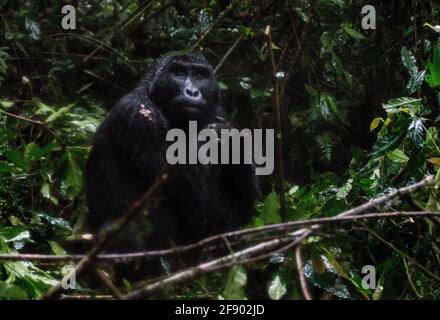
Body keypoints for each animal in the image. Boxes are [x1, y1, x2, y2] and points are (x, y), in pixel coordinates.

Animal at [85, 52, 258, 258]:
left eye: (199, 76)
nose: (192, 91)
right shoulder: (140, 114)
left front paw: (234, 142)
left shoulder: (218, 112)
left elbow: (241, 210)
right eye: (179, 73)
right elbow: (204, 206)